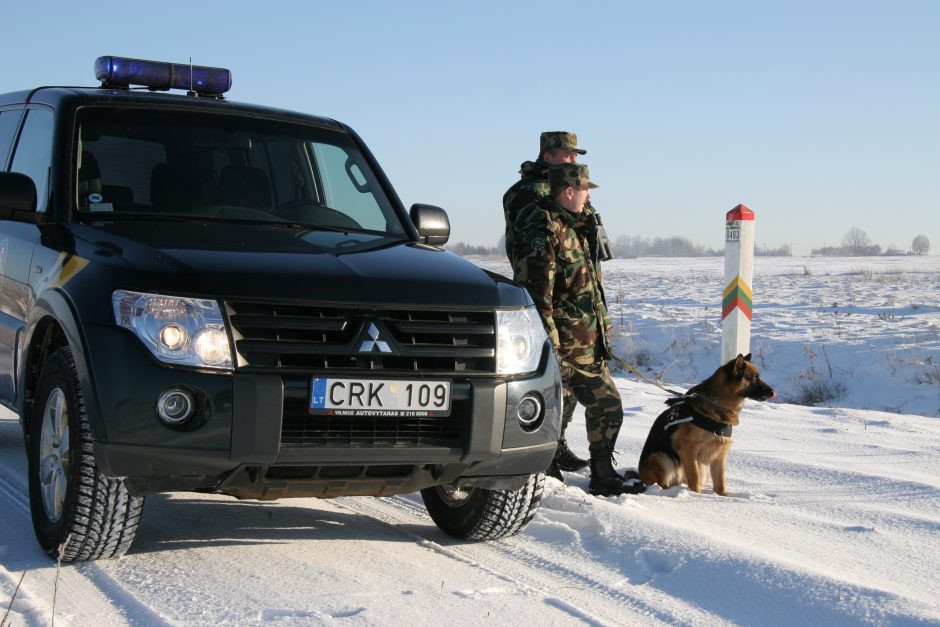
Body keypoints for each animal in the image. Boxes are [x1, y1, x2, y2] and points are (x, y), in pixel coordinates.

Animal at [640, 356, 780, 498]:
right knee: (663, 482)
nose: (773, 392)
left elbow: (720, 481)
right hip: (661, 457)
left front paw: (722, 496)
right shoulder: (688, 448)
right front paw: (696, 495)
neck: (719, 403)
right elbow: (694, 476)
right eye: (752, 377)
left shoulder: (719, 454)